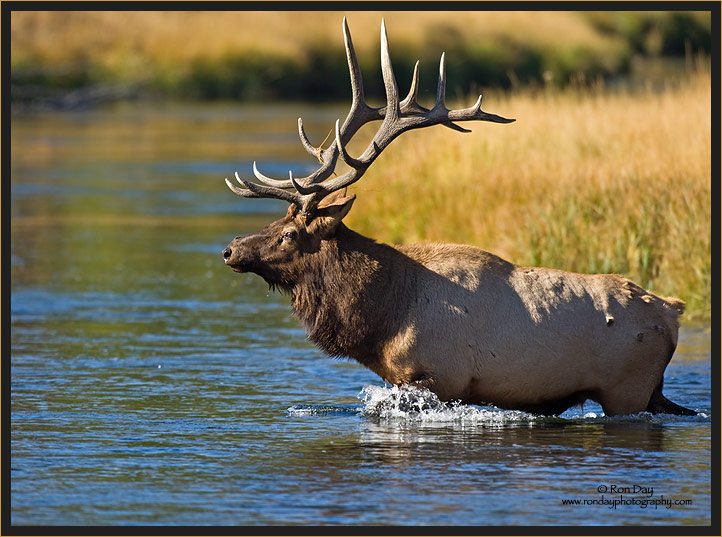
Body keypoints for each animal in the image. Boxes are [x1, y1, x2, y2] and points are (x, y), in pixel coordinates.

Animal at [221, 17, 692, 414]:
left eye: (289, 234)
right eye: (274, 223)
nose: (230, 249)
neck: (384, 319)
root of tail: (673, 311)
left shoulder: (441, 377)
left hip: (626, 390)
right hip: (652, 393)